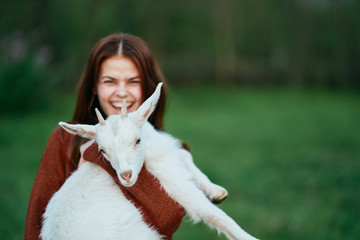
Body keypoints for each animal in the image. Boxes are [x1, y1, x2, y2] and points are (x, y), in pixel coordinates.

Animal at [40, 83, 258, 240]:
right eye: (102, 150)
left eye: (137, 140)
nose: (126, 176)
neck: (152, 150)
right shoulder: (171, 182)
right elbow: (211, 213)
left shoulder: (166, 152)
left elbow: (184, 155)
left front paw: (215, 191)